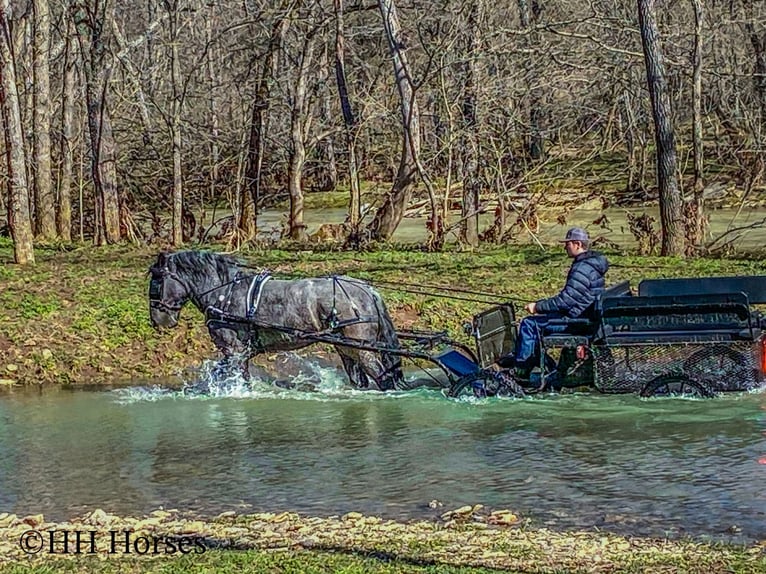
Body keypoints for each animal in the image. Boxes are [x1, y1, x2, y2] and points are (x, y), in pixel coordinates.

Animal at [148, 250, 405, 391]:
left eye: (157, 281)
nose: (157, 319)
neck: (225, 292)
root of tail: (367, 290)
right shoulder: (239, 353)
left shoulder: (235, 351)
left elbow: (236, 378)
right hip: (346, 349)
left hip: (363, 350)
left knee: (384, 379)